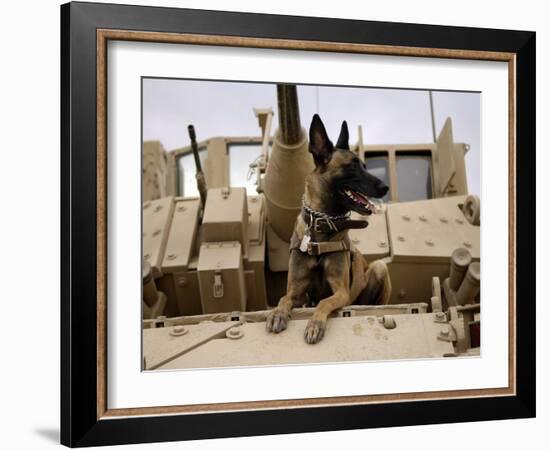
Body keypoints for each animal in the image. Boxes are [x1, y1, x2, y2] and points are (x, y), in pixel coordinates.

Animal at [266, 113, 392, 344]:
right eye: (352, 166)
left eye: (364, 165)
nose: (385, 187)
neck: (321, 226)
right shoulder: (297, 292)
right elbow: (283, 298)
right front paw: (278, 314)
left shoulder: (340, 292)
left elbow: (325, 302)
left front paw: (315, 324)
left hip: (379, 268)